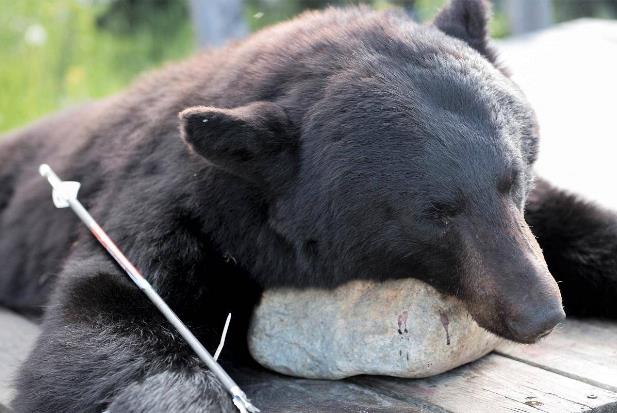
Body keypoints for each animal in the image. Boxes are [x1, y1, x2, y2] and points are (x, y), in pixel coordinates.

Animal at [0, 0, 612, 412]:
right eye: (435, 213)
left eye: (514, 178)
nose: (540, 312)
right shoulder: (162, 213)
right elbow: (106, 324)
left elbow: (576, 224)